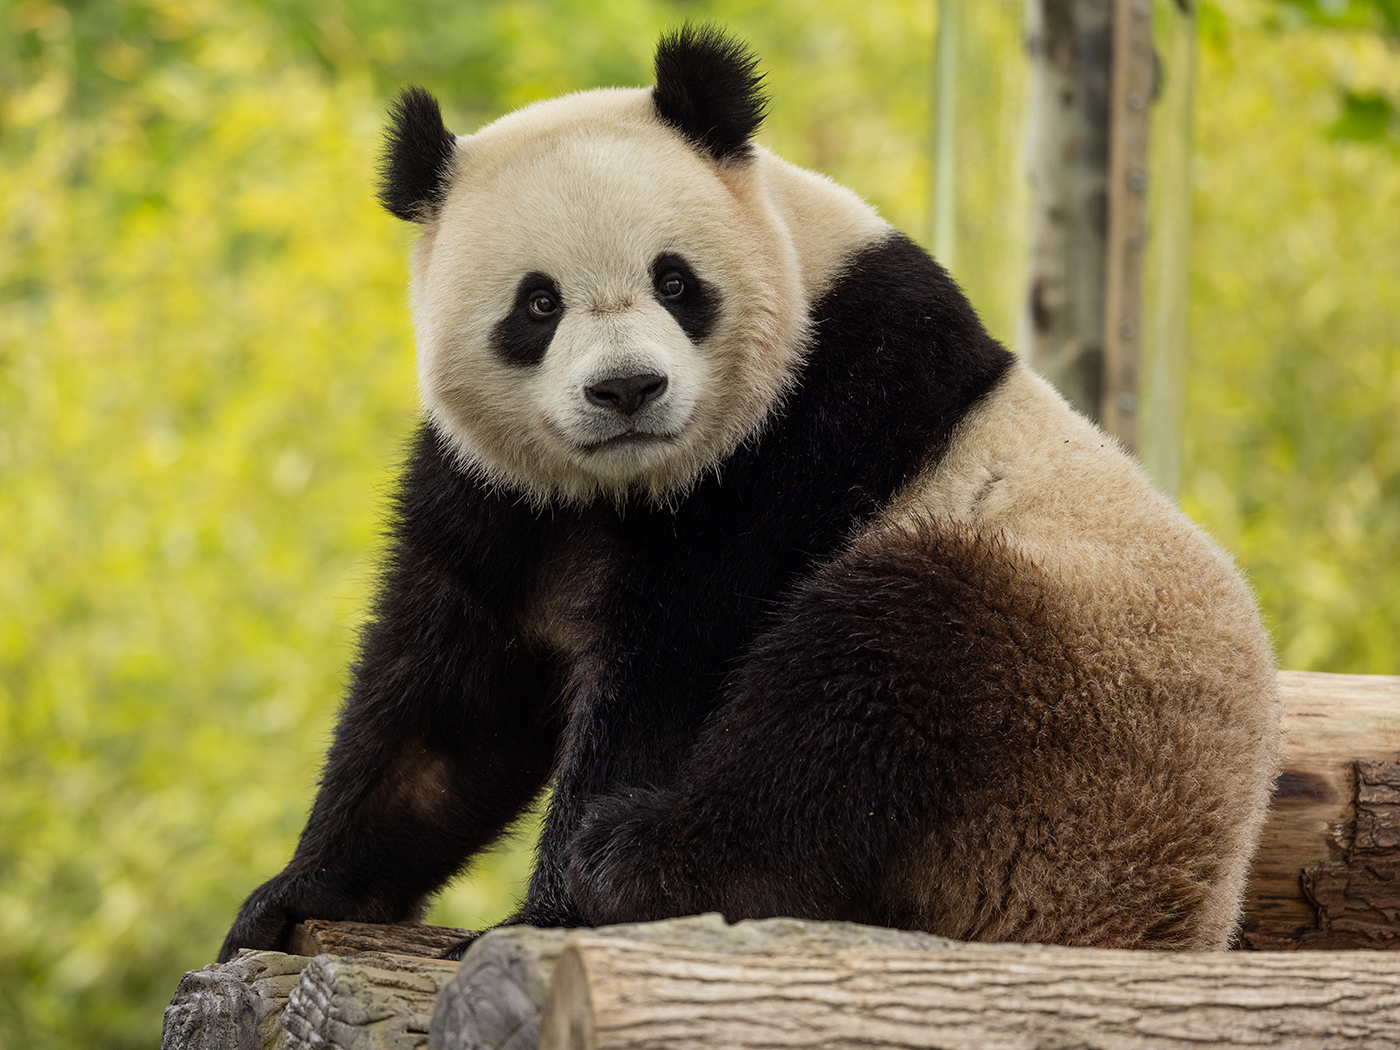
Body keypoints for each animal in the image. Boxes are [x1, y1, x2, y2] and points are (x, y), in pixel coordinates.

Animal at [215, 24, 1282, 968]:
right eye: (538, 303)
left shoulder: (807, 427)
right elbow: (450, 701)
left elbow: (673, 669)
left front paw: (546, 914)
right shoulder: (502, 493)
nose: (627, 389)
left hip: (1069, 710)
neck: (624, 485)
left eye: (675, 282)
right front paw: (291, 898)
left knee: (870, 681)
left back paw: (637, 861)